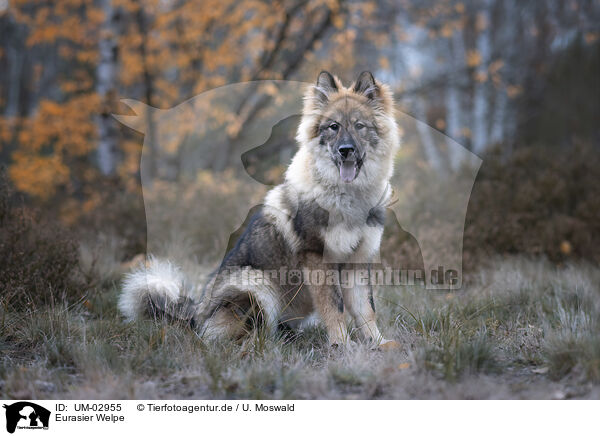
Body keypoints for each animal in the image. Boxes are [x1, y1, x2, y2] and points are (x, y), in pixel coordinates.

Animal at [119, 71, 400, 350]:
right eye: (334, 127)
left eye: (359, 126)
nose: (345, 151)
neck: (348, 197)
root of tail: (196, 316)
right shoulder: (318, 259)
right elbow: (334, 308)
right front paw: (341, 345)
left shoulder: (357, 261)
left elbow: (366, 309)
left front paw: (378, 343)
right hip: (256, 283)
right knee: (236, 332)